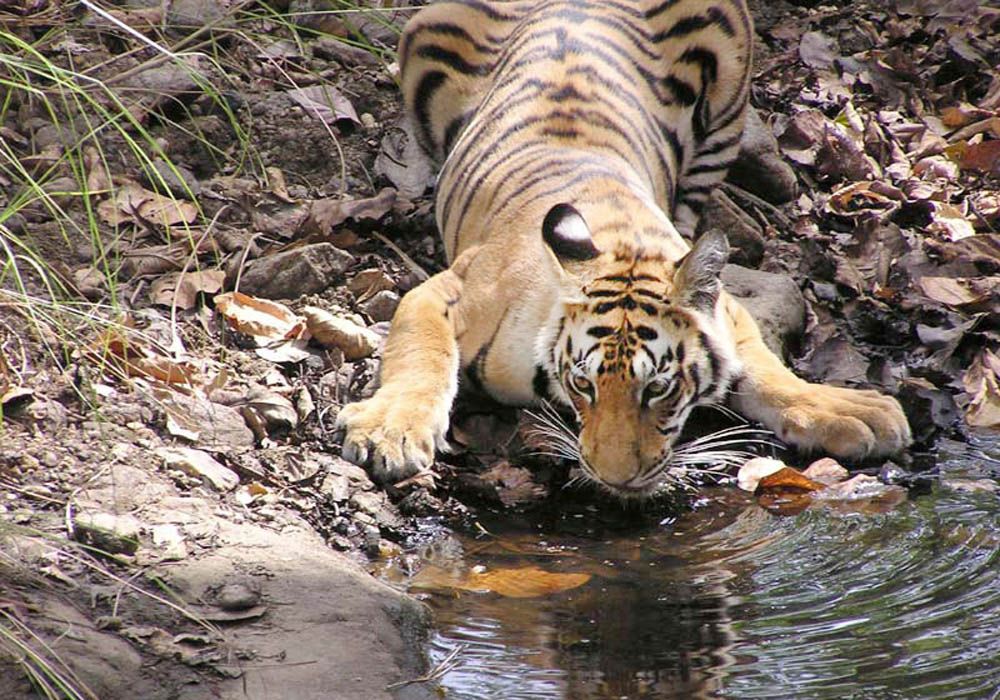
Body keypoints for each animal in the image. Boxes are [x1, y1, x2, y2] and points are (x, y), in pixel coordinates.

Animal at [332, 0, 912, 494]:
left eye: (658, 389)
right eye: (583, 385)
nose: (616, 478)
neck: (621, 240)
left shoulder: (723, 310)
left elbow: (765, 369)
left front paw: (850, 410)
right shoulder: (449, 288)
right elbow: (420, 351)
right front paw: (390, 433)